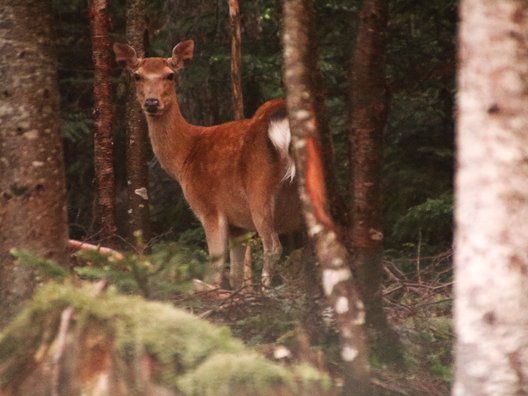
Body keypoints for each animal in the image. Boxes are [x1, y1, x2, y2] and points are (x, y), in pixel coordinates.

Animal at [112, 39, 302, 288]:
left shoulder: (210, 207)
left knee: (273, 247)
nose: (152, 103)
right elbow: (235, 275)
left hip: (259, 188)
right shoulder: (238, 224)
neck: (185, 156)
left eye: (170, 75)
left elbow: (215, 271)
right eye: (137, 76)